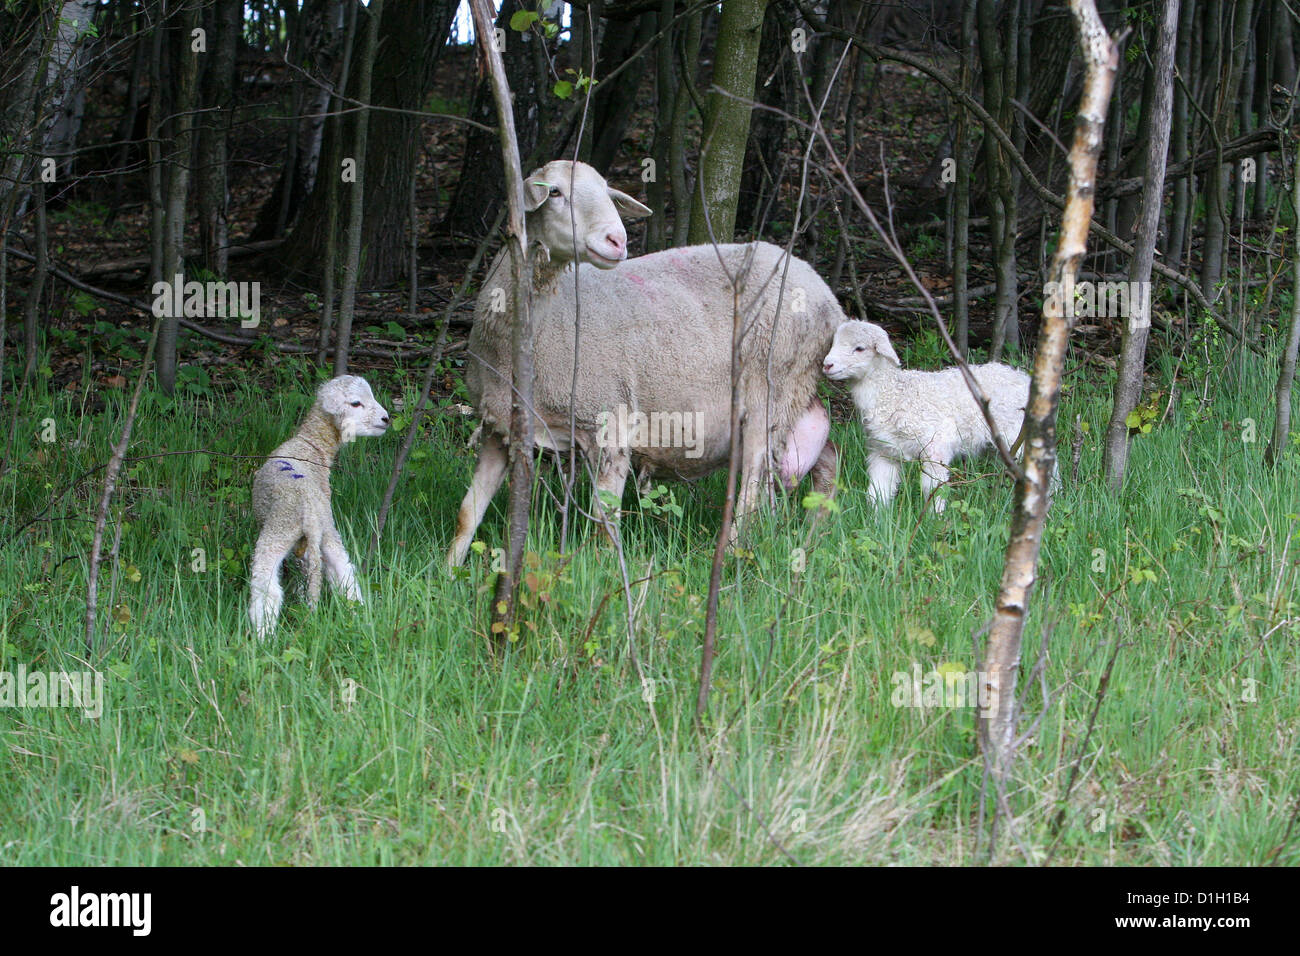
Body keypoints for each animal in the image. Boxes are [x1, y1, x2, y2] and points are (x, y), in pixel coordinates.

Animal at [248, 374, 387, 634]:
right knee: (344, 573)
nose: (386, 419)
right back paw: (358, 616)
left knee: (267, 589)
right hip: (324, 529)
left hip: (279, 530)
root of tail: (310, 512)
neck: (311, 446)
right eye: (356, 403)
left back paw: (263, 635)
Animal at [447, 158, 842, 567]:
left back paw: (731, 554)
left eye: (608, 194)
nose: (617, 240)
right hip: (796, 395)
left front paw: (607, 570)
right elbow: (468, 512)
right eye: (554, 192)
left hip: (770, 389)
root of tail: (829, 299)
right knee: (826, 457)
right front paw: (448, 570)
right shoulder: (498, 427)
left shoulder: (609, 421)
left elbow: (605, 521)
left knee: (752, 487)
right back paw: (814, 535)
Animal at [821, 321, 1034, 515]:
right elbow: (878, 490)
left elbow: (932, 488)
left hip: (1016, 435)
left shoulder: (935, 446)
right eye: (834, 342)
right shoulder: (883, 451)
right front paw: (876, 519)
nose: (827, 365)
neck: (892, 394)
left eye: (859, 348)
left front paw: (934, 519)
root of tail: (1023, 378)